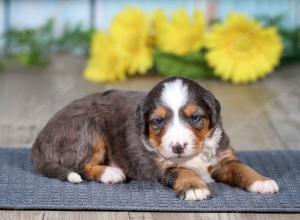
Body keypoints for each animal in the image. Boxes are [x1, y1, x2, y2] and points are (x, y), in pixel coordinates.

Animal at [31, 76, 278, 200]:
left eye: (195, 117)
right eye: (158, 121)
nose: (178, 147)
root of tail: (40, 138)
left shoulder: (223, 156)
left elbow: (242, 168)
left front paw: (262, 181)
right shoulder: (159, 164)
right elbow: (181, 171)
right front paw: (194, 187)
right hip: (89, 129)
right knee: (81, 166)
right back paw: (111, 172)